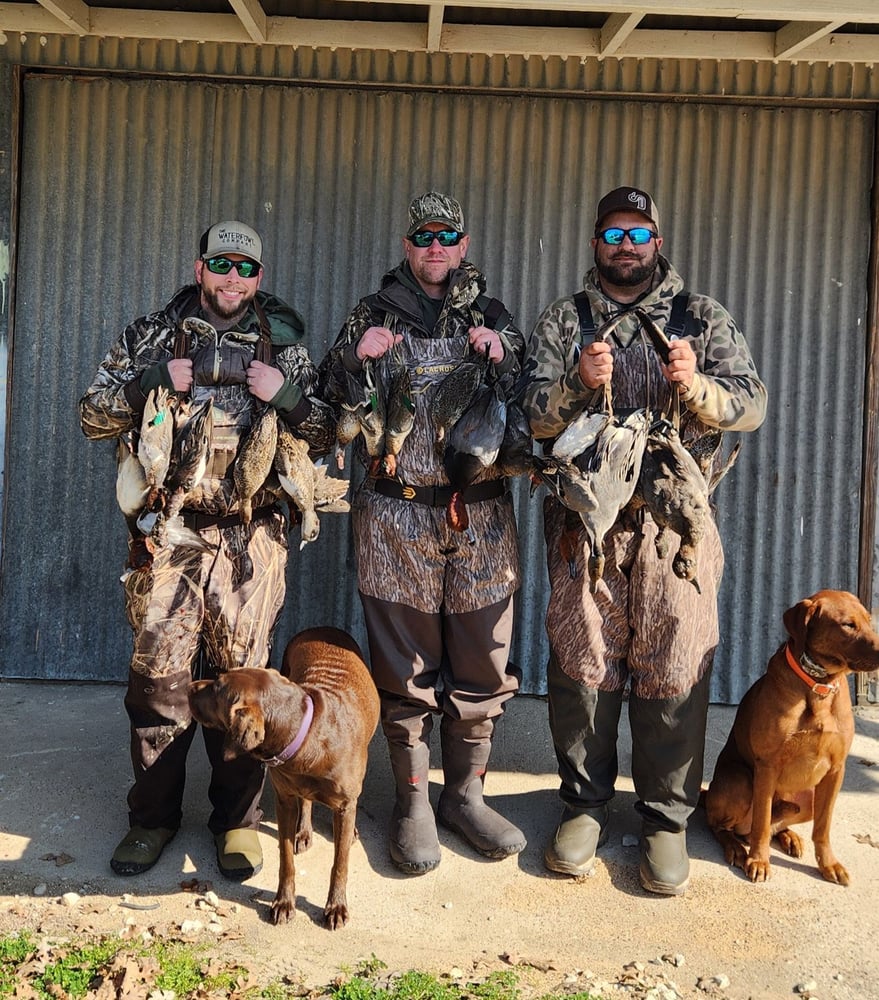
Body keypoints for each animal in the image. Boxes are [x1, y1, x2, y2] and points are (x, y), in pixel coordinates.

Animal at [187, 624, 380, 928]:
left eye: (217, 687)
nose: (188, 687)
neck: (308, 734)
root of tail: (322, 627)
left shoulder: (344, 804)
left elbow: (340, 863)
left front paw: (336, 906)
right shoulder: (284, 799)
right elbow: (286, 859)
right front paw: (284, 902)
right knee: (306, 801)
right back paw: (304, 831)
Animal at [704, 588, 879, 888]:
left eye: (869, 620)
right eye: (847, 625)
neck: (819, 687)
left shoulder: (836, 769)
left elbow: (822, 828)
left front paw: (828, 864)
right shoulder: (767, 766)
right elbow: (761, 824)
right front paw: (759, 860)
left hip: (809, 796)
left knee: (774, 825)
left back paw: (789, 837)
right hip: (740, 781)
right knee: (727, 827)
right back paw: (736, 847)